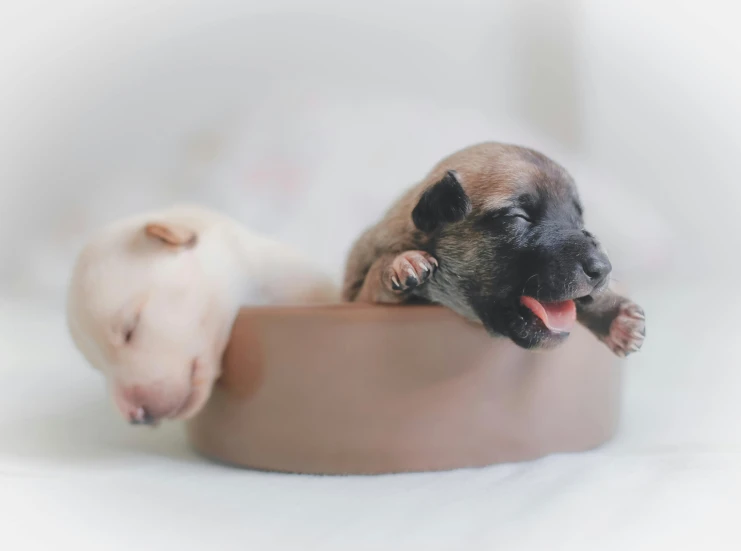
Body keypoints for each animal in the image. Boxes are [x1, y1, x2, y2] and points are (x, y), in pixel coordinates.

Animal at [344, 142, 644, 358]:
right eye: (519, 217)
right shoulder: (358, 296)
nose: (603, 268)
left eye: (579, 221)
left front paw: (613, 314)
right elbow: (375, 277)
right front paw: (401, 262)